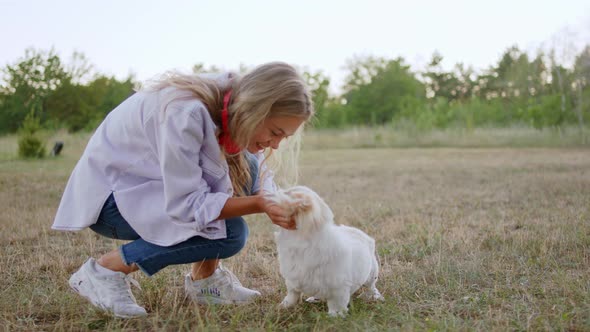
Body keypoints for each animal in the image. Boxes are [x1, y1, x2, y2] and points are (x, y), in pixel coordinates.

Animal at [268, 185, 384, 316]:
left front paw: (335, 316)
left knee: (371, 287)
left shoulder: (338, 288)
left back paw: (373, 296)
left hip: (371, 274)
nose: (271, 191)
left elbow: (336, 304)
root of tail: (363, 236)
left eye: (288, 193)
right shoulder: (293, 280)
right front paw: (284, 306)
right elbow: (292, 295)